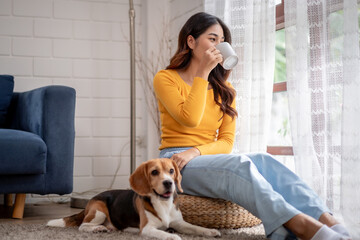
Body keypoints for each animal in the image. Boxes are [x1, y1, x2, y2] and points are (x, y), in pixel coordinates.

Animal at [47, 158, 222, 239]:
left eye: (171, 171)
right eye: (154, 172)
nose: (168, 183)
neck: (162, 203)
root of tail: (91, 200)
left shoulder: (179, 223)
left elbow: (195, 227)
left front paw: (210, 231)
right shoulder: (147, 229)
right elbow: (162, 233)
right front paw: (172, 236)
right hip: (99, 210)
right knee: (83, 225)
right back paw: (97, 228)